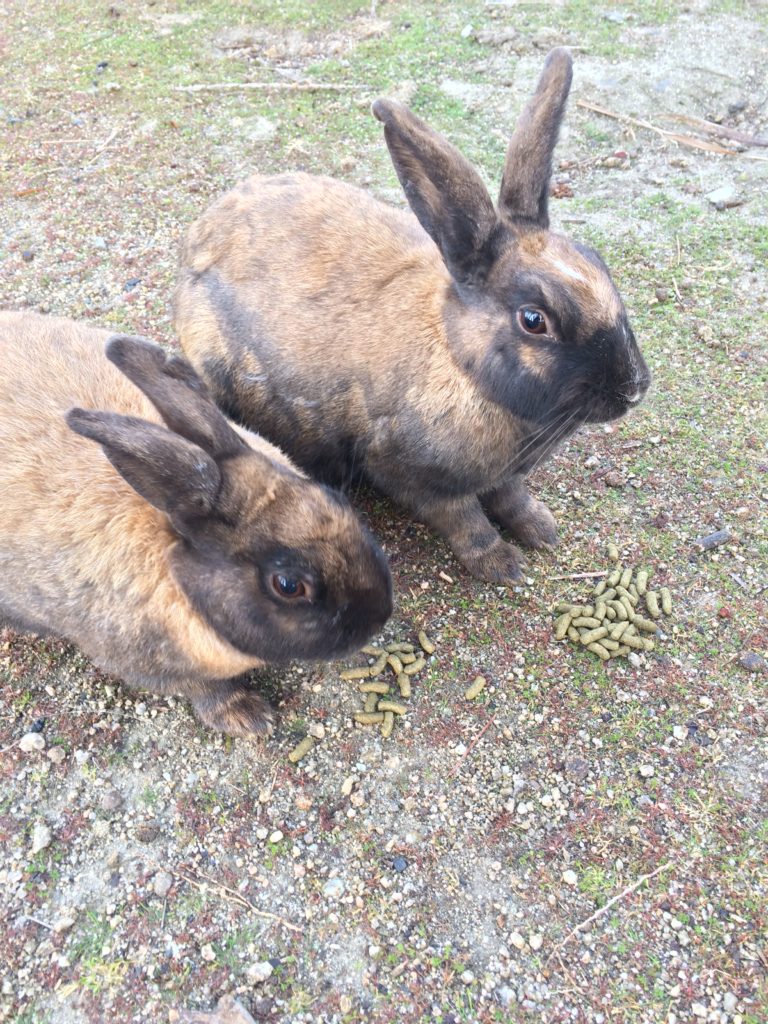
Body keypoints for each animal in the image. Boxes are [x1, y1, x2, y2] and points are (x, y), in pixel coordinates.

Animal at [173, 49, 651, 585]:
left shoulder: (505, 477)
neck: (462, 363)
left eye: (598, 261)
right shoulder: (416, 479)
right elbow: (465, 519)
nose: (634, 388)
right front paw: (501, 564)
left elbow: (512, 498)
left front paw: (542, 530)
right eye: (534, 320)